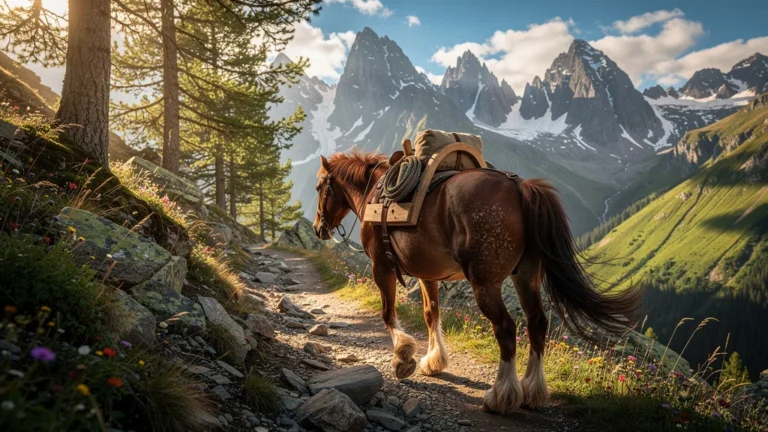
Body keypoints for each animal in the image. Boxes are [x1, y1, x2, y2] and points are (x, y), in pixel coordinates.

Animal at [312, 151, 641, 414]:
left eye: (319, 187)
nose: (317, 228)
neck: (374, 194)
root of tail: (519, 187)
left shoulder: (381, 267)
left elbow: (387, 313)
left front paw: (403, 357)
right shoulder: (428, 275)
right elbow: (431, 315)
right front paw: (433, 361)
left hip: (485, 283)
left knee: (506, 328)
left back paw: (502, 396)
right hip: (525, 276)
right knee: (537, 323)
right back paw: (532, 390)